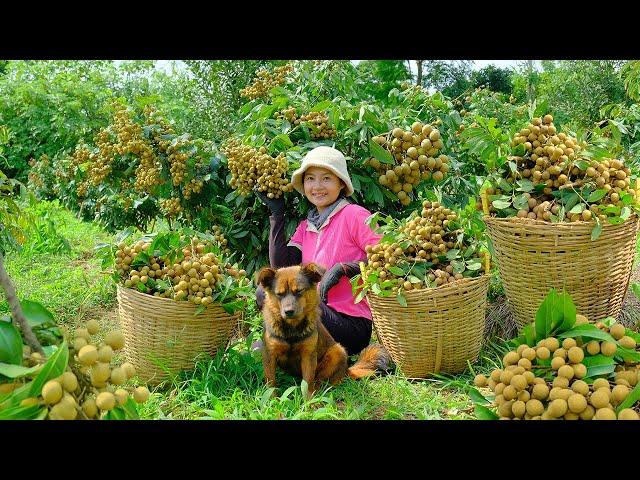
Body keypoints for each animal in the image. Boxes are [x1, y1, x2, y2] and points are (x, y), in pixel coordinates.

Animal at [256, 262, 390, 398]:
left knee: (325, 380)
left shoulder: (308, 355)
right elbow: (271, 383)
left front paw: (308, 400)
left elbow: (307, 382)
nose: (288, 311)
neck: (292, 329)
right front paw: (271, 399)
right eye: (279, 294)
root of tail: (347, 370)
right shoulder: (269, 355)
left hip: (337, 351)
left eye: (299, 291)